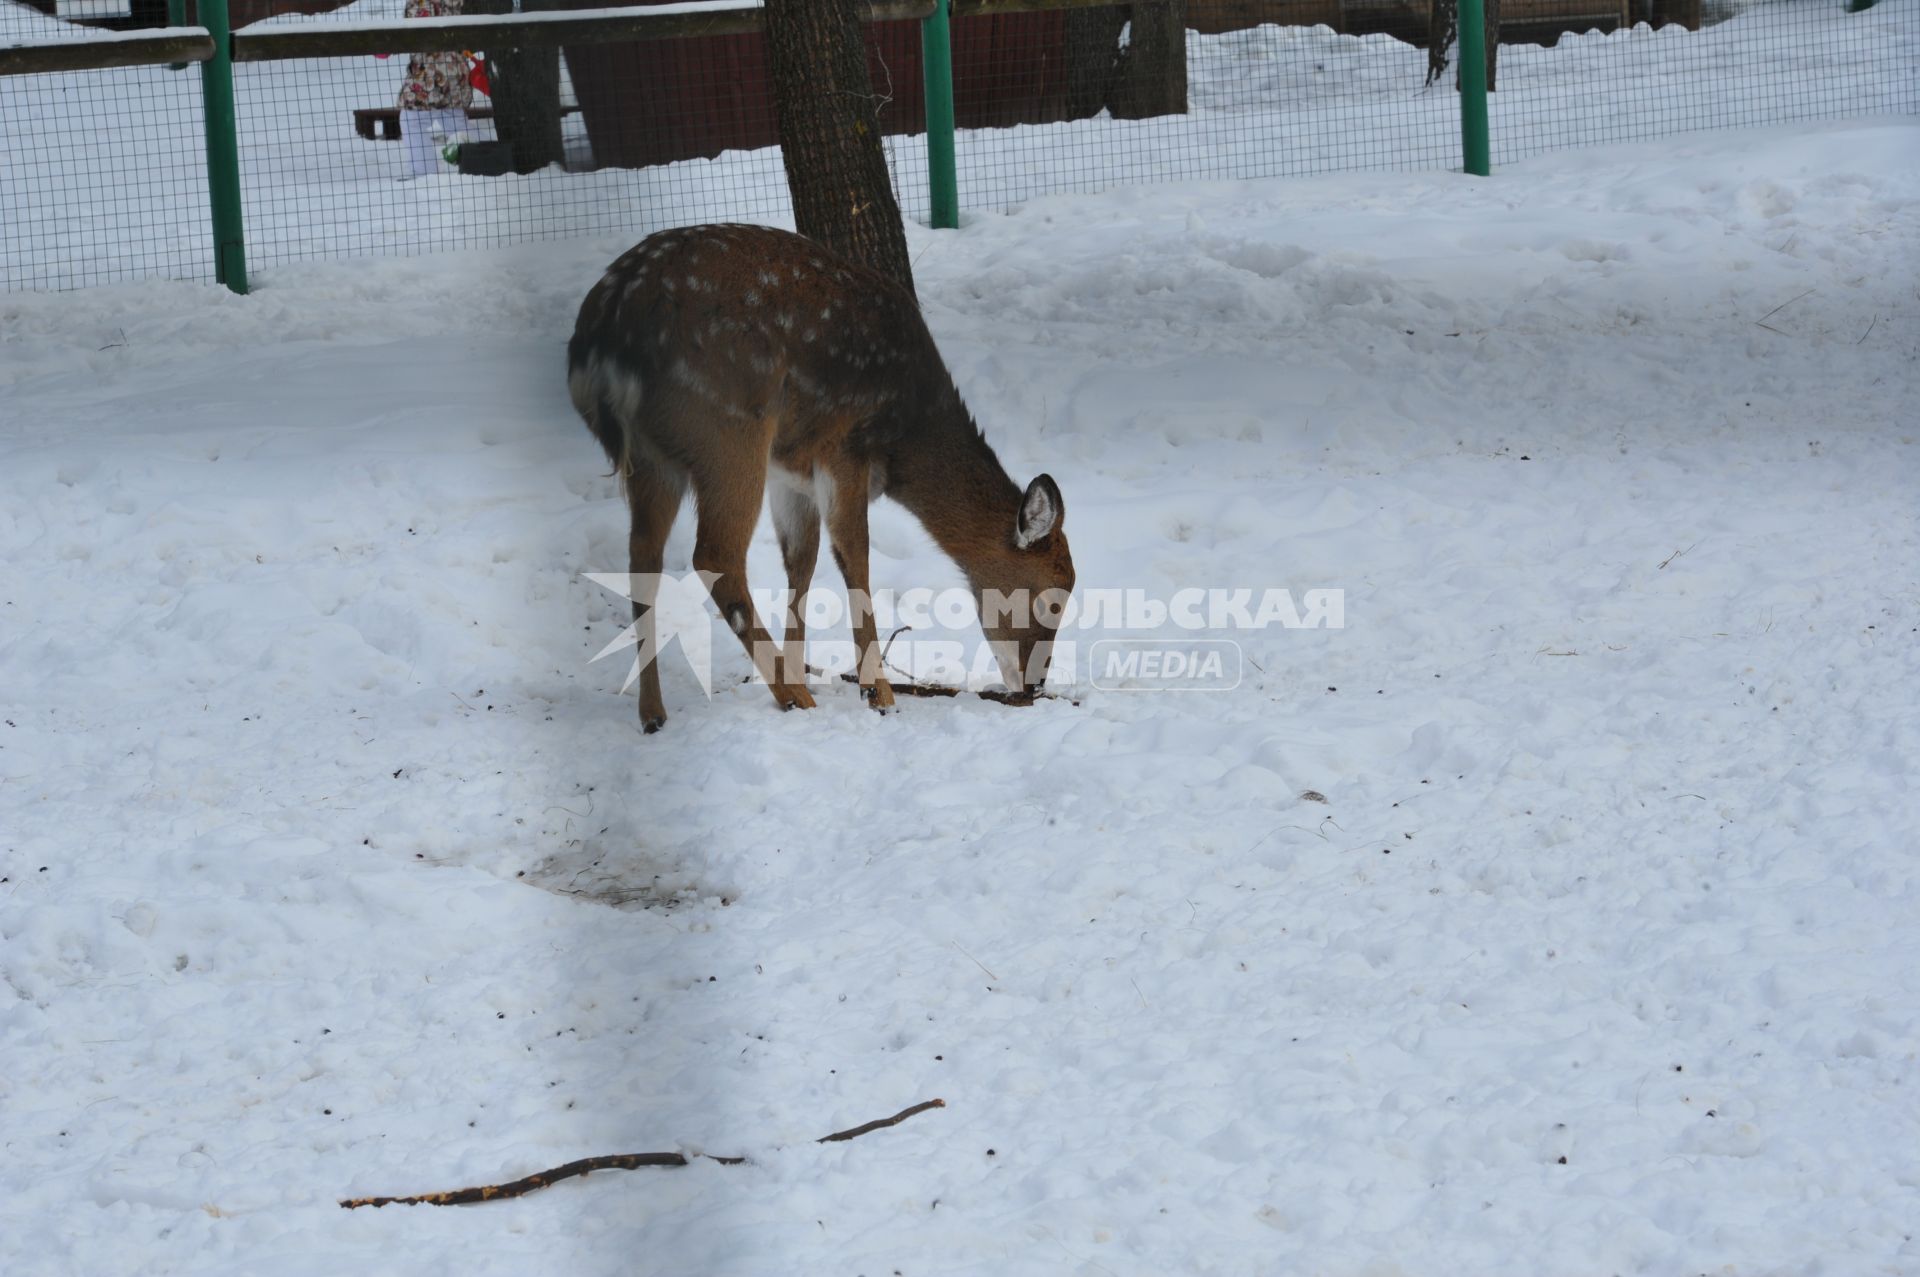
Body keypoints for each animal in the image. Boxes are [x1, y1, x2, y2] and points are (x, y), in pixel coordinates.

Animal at [568, 223, 1082, 733]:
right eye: (1052, 598)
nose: (1035, 684)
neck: (905, 435)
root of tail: (605, 341)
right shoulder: (844, 445)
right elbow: (854, 555)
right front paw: (878, 695)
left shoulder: (791, 474)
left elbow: (803, 560)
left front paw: (808, 670)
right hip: (730, 430)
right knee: (714, 556)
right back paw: (792, 697)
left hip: (658, 459)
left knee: (643, 558)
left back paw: (655, 712)